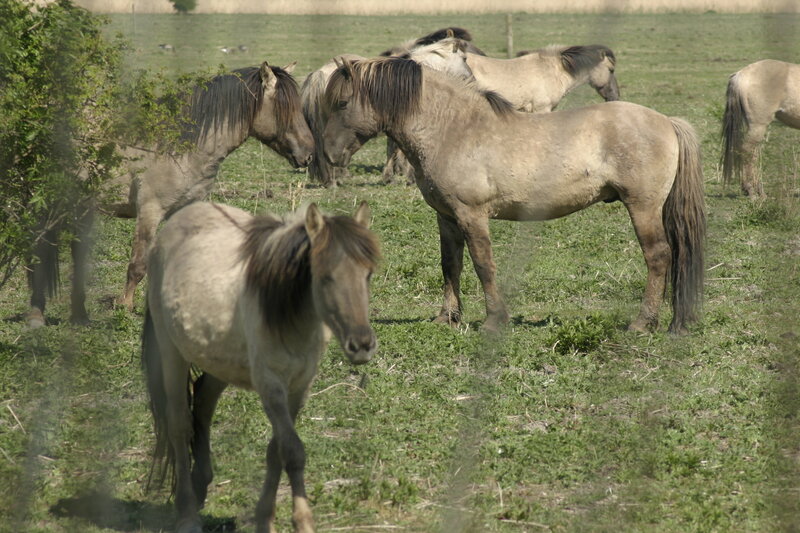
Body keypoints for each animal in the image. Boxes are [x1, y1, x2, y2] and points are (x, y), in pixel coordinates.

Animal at [25, 61, 313, 328]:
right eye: (284, 109)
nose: (309, 154)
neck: (181, 147)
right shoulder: (149, 211)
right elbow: (137, 265)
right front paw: (125, 309)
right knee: (38, 250)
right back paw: (37, 315)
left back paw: (80, 317)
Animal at [142, 200, 380, 533]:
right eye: (325, 277)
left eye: (367, 274)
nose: (361, 345)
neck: (290, 317)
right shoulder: (271, 385)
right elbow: (292, 451)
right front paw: (303, 521)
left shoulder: (299, 388)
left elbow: (276, 450)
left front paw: (265, 517)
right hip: (171, 351)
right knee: (179, 424)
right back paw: (187, 513)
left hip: (219, 360)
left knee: (202, 405)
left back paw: (202, 485)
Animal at [301, 35, 474, 187]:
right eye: (464, 58)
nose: (472, 79)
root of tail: (319, 73)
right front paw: (406, 177)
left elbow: (392, 148)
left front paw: (392, 176)